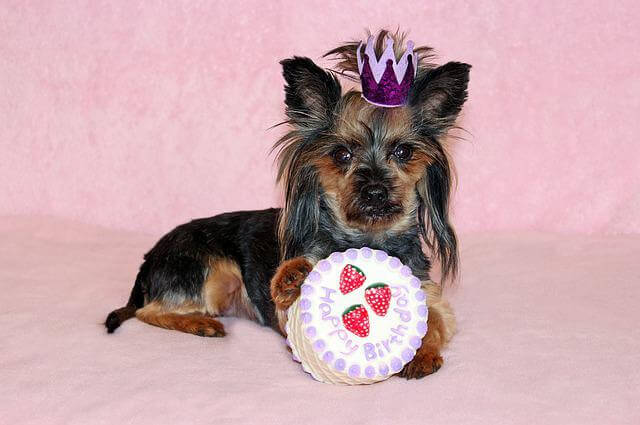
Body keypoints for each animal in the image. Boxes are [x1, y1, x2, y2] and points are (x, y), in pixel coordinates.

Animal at [105, 31, 470, 380]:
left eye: (404, 152)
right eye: (341, 154)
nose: (375, 191)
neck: (367, 238)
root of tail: (150, 258)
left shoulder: (432, 296)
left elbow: (436, 321)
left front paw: (422, 354)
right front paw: (294, 278)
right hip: (212, 271)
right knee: (149, 311)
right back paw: (200, 323)